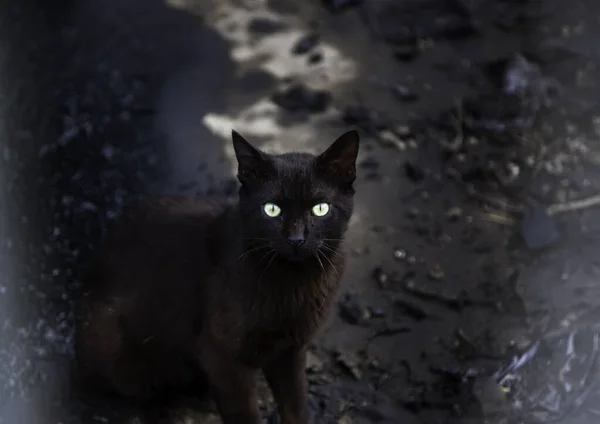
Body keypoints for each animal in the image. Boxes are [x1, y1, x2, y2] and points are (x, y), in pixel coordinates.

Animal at [73, 129, 358, 424]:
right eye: (271, 209)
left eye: (320, 209)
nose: (296, 239)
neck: (293, 283)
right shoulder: (221, 356)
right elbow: (245, 415)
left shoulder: (290, 350)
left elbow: (295, 404)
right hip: (112, 341)